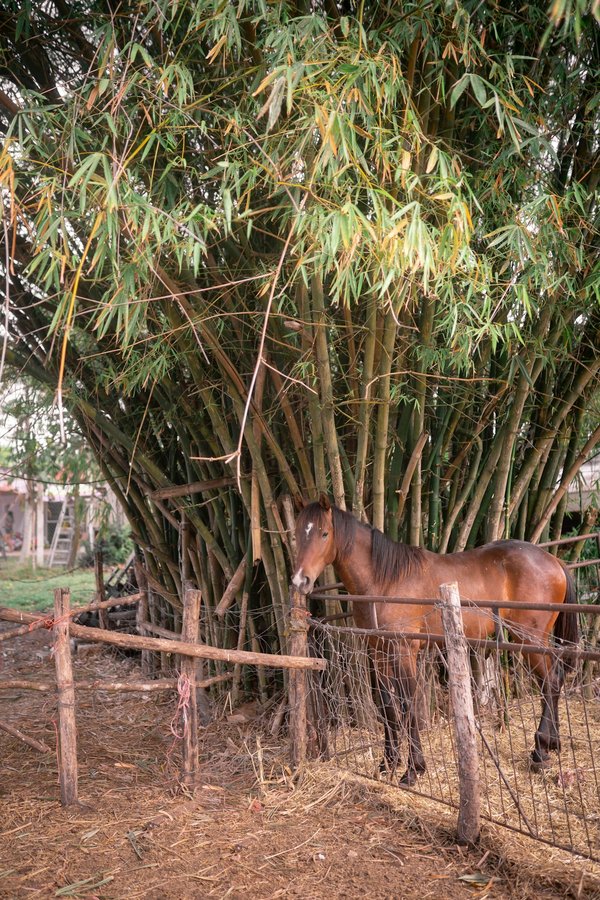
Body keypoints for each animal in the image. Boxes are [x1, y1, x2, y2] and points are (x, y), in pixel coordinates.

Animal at [291, 495, 578, 786]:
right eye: (296, 534)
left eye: (324, 533)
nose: (299, 580)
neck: (384, 582)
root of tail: (553, 560)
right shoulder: (378, 651)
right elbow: (386, 706)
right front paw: (387, 763)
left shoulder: (404, 650)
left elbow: (407, 705)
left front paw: (413, 769)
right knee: (554, 680)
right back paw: (551, 745)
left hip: (528, 639)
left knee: (549, 682)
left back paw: (541, 750)